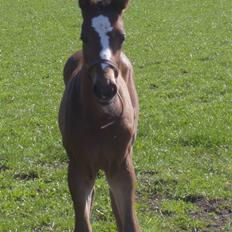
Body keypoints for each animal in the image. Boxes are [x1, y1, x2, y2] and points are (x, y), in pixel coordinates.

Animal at [59, 0, 140, 231]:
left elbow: (130, 222)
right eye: (83, 36)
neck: (102, 120)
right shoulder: (78, 169)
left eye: (122, 36)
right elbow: (82, 223)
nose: (105, 88)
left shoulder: (123, 167)